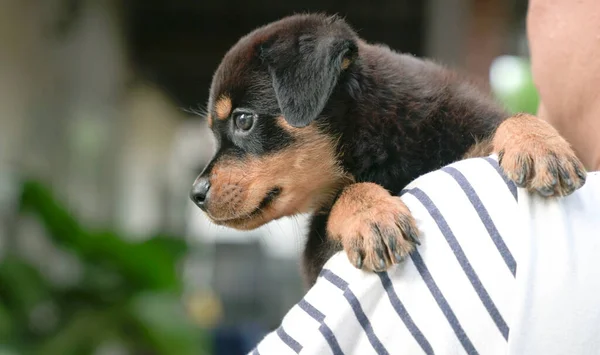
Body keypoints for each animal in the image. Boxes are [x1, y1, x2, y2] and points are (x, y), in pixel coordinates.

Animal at [191, 13, 584, 290]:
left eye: (243, 120)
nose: (196, 194)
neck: (383, 143)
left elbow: (507, 121)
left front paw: (539, 145)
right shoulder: (316, 258)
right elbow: (343, 195)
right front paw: (371, 216)